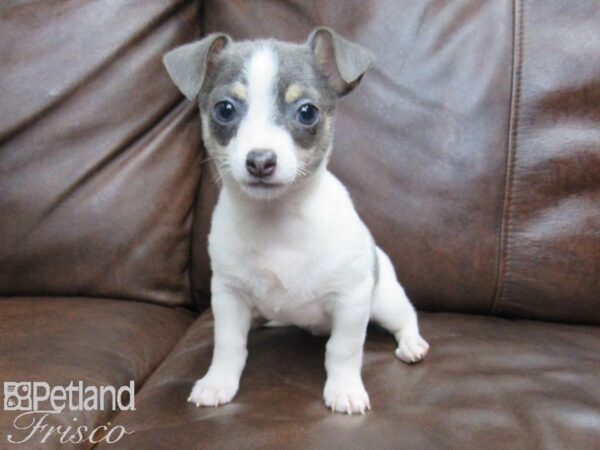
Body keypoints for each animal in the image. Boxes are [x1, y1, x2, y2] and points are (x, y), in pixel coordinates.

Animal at [162, 28, 428, 414]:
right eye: (225, 109)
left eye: (307, 112)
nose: (260, 160)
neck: (276, 222)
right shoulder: (228, 296)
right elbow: (228, 345)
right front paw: (218, 382)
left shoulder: (352, 300)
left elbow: (343, 350)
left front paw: (345, 389)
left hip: (384, 300)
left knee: (406, 317)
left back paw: (411, 344)